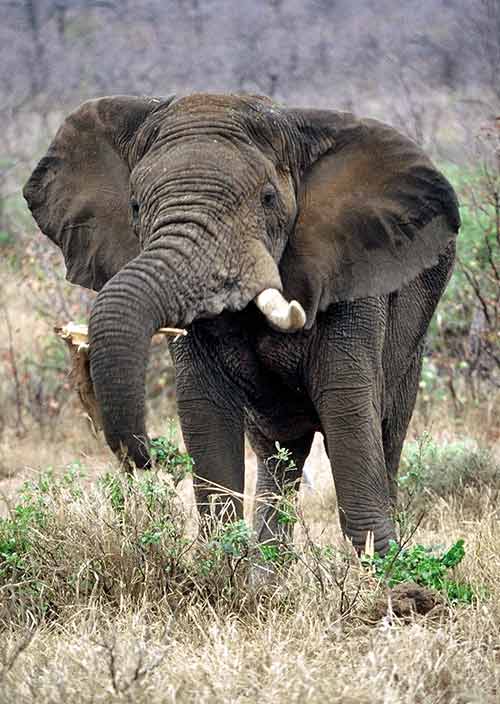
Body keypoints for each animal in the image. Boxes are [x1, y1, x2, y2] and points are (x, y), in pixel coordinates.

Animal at [24, 93, 460, 556]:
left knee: (386, 432)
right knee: (278, 453)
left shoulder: (352, 275)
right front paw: (221, 561)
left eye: (268, 198)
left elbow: (348, 410)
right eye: (135, 207)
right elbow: (205, 415)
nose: (146, 457)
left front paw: (384, 568)